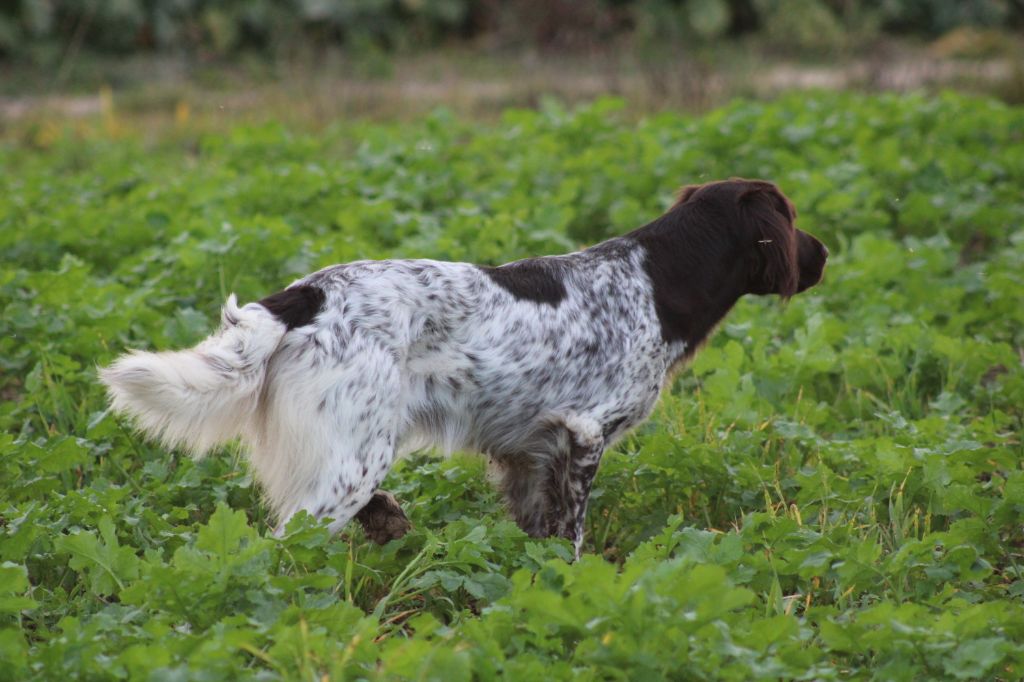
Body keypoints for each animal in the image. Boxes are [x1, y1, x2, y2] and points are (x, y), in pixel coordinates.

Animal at [101, 178, 823, 557]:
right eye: (790, 214)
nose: (822, 255)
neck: (655, 281)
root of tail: (304, 295)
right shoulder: (584, 433)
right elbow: (573, 534)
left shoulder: (529, 454)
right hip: (350, 461)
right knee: (283, 547)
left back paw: (390, 524)